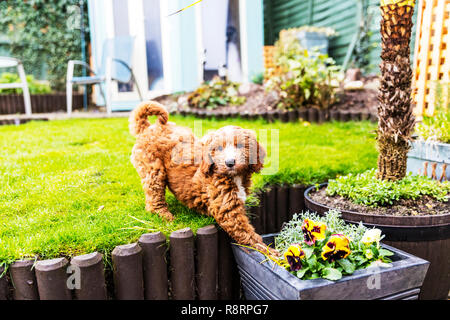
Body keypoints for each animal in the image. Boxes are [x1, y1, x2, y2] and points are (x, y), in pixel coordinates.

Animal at [130, 101, 268, 251]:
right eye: (219, 148)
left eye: (241, 145)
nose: (230, 162)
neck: (233, 176)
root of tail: (147, 128)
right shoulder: (228, 211)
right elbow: (247, 233)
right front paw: (269, 252)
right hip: (153, 169)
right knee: (154, 199)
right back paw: (166, 216)